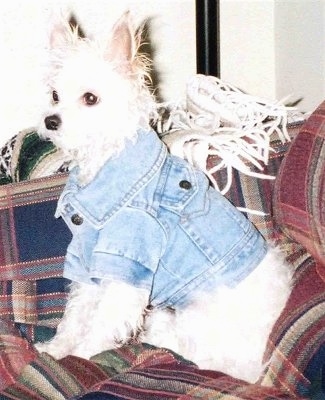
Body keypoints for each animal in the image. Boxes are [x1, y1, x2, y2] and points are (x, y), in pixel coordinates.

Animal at [37, 11, 292, 384]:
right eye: (55, 95)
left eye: (90, 99)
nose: (50, 120)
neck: (107, 165)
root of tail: (258, 369)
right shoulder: (91, 265)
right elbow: (76, 314)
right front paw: (56, 349)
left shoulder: (126, 272)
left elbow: (99, 324)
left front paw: (78, 356)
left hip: (198, 314)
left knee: (198, 354)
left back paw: (159, 331)